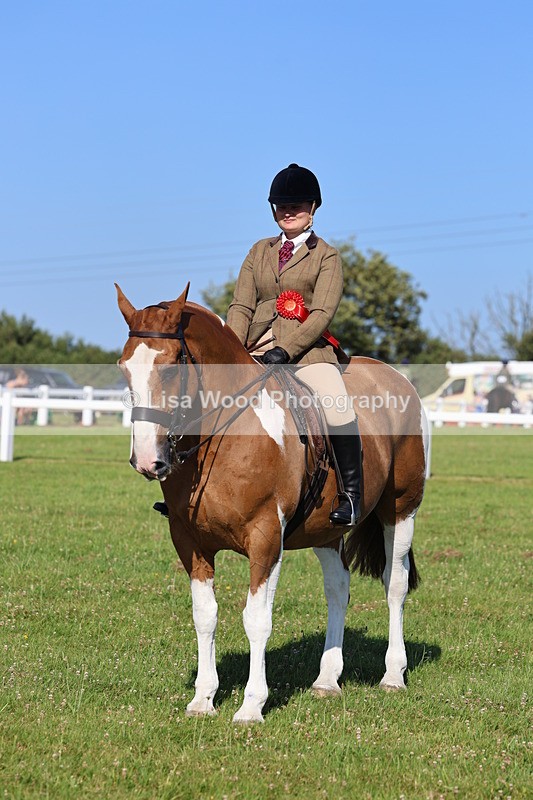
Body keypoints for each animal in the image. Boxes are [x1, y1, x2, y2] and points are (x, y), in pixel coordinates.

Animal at [116, 282, 428, 723]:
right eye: (124, 368)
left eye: (173, 366)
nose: (147, 460)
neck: (226, 433)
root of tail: (396, 377)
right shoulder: (189, 540)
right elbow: (205, 615)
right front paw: (203, 699)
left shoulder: (266, 538)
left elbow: (257, 619)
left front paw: (252, 705)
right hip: (326, 528)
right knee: (339, 588)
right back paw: (327, 679)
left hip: (401, 509)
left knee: (394, 583)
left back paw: (393, 674)